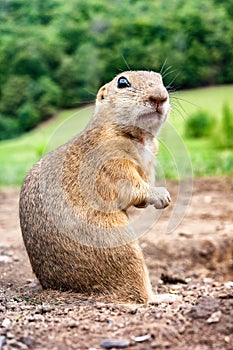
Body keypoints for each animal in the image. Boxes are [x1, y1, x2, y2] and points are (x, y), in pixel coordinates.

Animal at [19, 71, 171, 304]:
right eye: (122, 82)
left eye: (160, 78)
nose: (159, 97)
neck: (140, 137)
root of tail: (62, 287)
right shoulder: (111, 160)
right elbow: (130, 184)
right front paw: (161, 195)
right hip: (122, 248)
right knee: (138, 295)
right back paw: (163, 297)